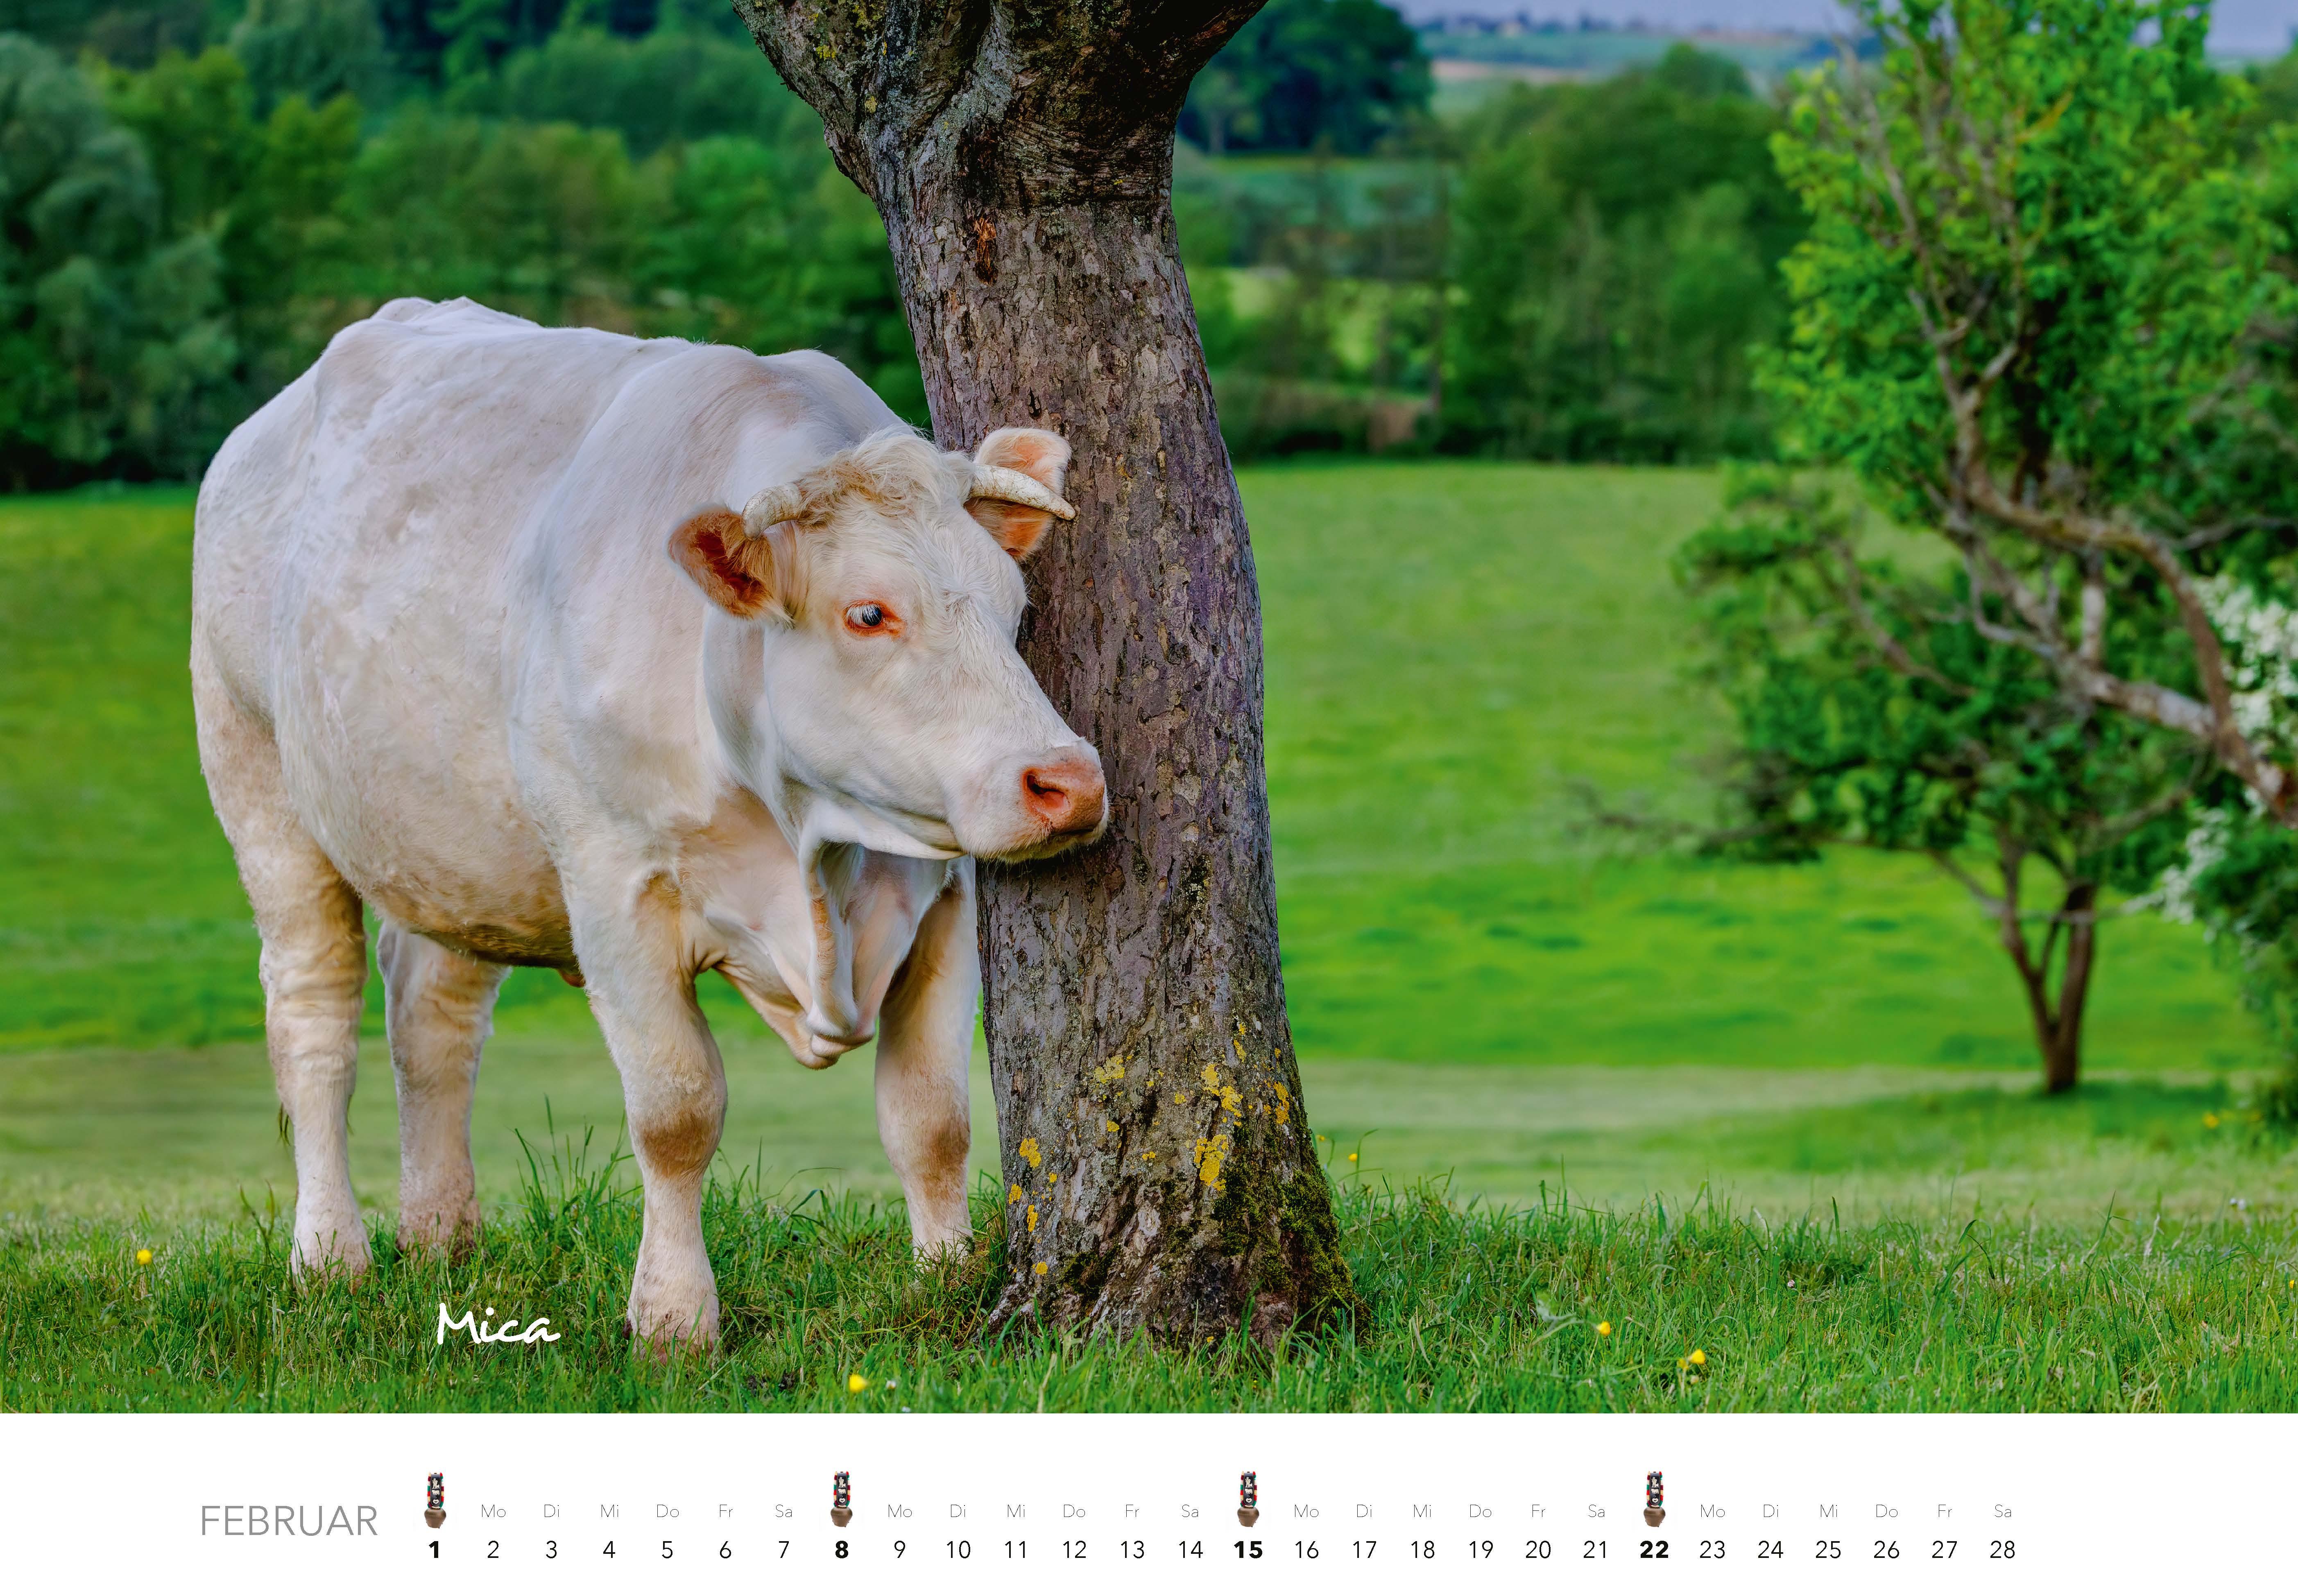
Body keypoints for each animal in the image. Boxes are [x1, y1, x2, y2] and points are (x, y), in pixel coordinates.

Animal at [190, 297, 1106, 1347]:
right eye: (869, 613)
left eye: (1012, 604)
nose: (1066, 781)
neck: (810, 847)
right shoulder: (613, 886)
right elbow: (676, 1113)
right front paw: (674, 1318)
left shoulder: (944, 898)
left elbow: (934, 1114)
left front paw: (942, 1278)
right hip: (256, 776)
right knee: (314, 1018)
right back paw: (329, 1254)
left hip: (459, 845)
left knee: (430, 1015)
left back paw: (440, 1234)